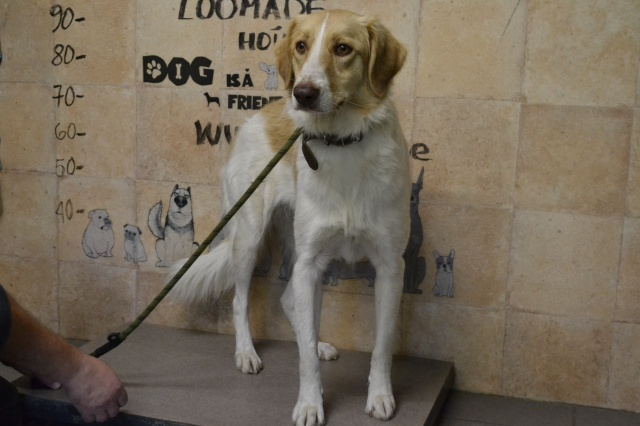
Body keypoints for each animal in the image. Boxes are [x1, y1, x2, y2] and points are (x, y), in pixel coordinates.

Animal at [169, 10, 408, 425]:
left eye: (343, 49)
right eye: (301, 46)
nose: (303, 94)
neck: (343, 144)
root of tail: (258, 115)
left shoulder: (390, 266)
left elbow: (381, 346)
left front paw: (380, 396)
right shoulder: (310, 263)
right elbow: (303, 360)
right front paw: (310, 404)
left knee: (290, 304)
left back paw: (318, 344)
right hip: (250, 236)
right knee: (241, 300)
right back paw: (247, 354)